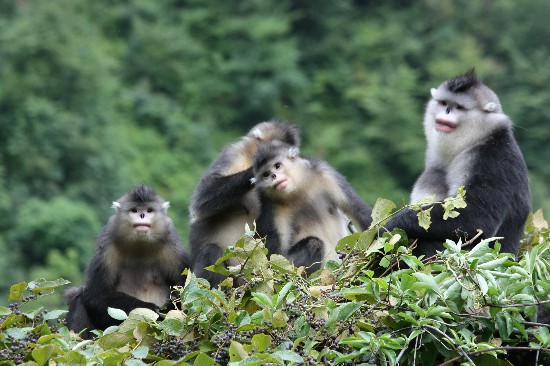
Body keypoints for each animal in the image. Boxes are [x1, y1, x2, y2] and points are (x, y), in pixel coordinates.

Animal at [64, 184, 190, 338]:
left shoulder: (172, 247)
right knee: (77, 295)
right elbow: (95, 295)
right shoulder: (107, 247)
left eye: (149, 210)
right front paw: (150, 308)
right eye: (134, 210)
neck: (140, 245)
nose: (142, 215)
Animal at [254, 140, 376, 272]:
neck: (296, 191)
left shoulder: (323, 172)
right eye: (266, 174)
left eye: (277, 166)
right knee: (313, 243)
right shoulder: (270, 206)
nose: (273, 176)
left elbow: (359, 210)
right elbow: (274, 256)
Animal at [382, 71, 532, 258]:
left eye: (459, 107)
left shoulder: (494, 160)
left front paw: (388, 227)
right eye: (444, 103)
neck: (474, 140)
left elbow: (477, 220)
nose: (446, 111)